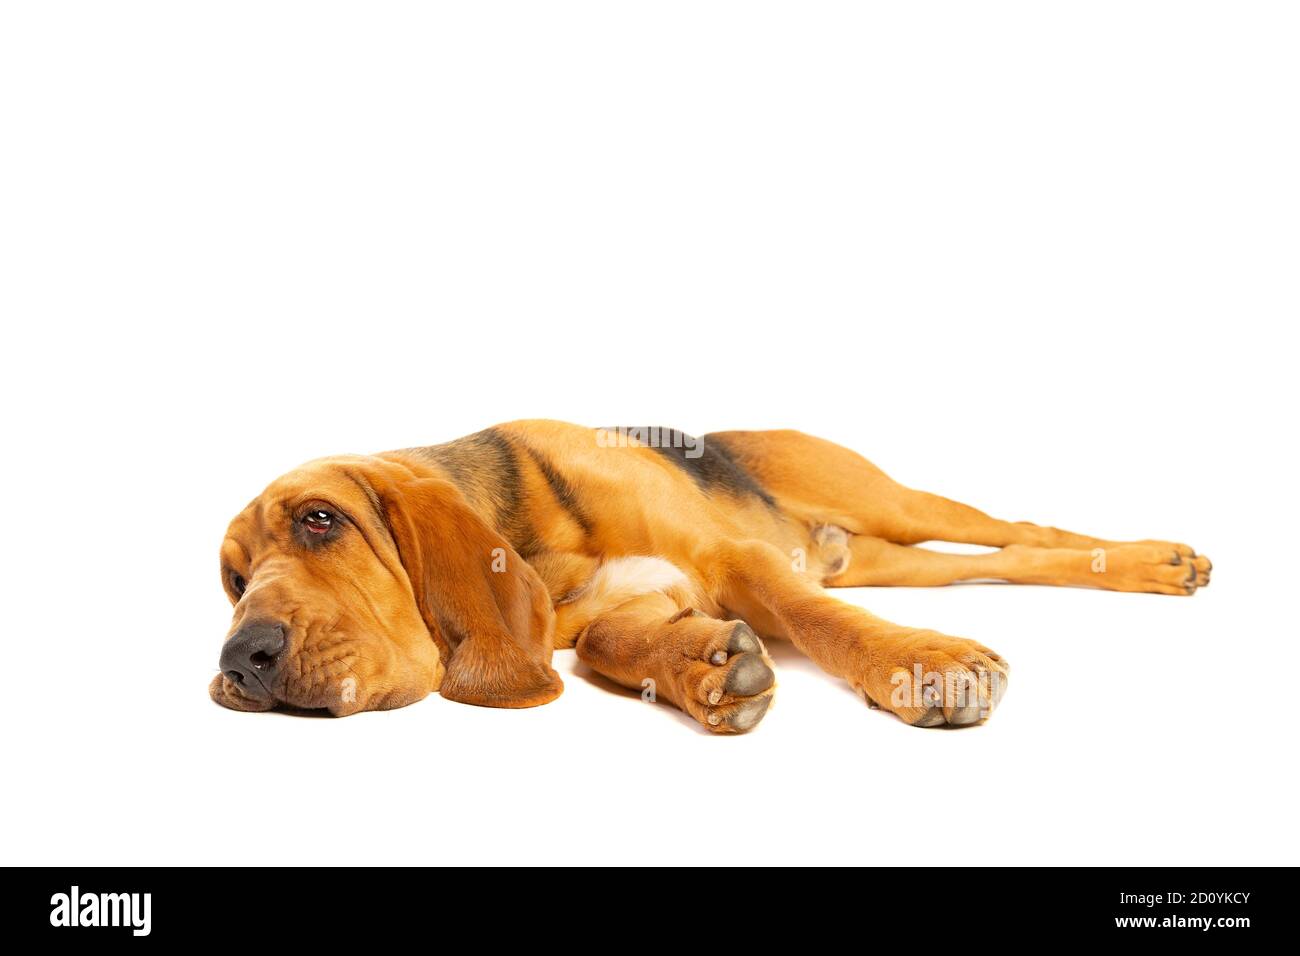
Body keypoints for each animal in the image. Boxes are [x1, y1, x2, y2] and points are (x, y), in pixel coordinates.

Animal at [210, 421, 1206, 728]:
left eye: (321, 520)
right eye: (232, 578)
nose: (241, 660)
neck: (535, 545)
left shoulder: (741, 561)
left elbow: (813, 622)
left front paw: (919, 665)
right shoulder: (625, 603)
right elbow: (611, 642)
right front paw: (702, 668)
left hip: (892, 503)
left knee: (1019, 529)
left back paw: (1157, 560)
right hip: (877, 559)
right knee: (995, 559)